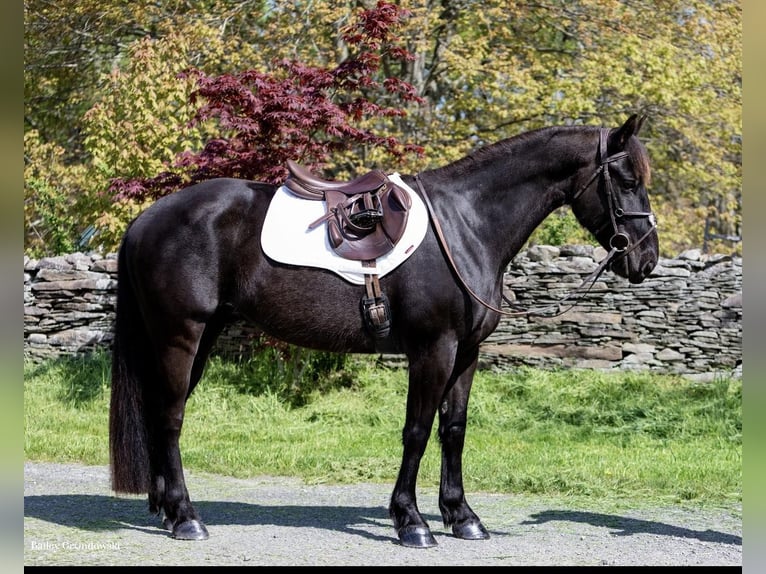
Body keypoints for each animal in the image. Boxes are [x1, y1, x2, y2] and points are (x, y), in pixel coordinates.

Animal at [108, 113, 660, 548]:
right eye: (625, 177)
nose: (646, 259)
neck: (466, 226)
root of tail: (146, 219)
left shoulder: (467, 354)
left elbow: (453, 430)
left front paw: (463, 517)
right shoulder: (433, 350)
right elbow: (416, 430)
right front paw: (412, 522)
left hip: (197, 338)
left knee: (160, 413)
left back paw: (165, 509)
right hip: (181, 336)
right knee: (170, 418)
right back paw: (186, 518)